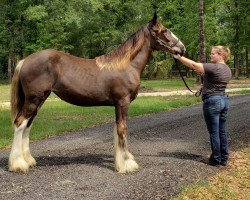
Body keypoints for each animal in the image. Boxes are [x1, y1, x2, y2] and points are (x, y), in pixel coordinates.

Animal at [8, 13, 186, 174]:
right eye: (163, 31)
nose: (182, 48)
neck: (127, 65)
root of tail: (24, 61)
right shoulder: (123, 101)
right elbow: (122, 129)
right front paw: (127, 164)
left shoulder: (118, 104)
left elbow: (117, 129)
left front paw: (122, 160)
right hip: (33, 100)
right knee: (20, 123)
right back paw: (18, 164)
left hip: (39, 100)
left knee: (27, 126)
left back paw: (28, 161)